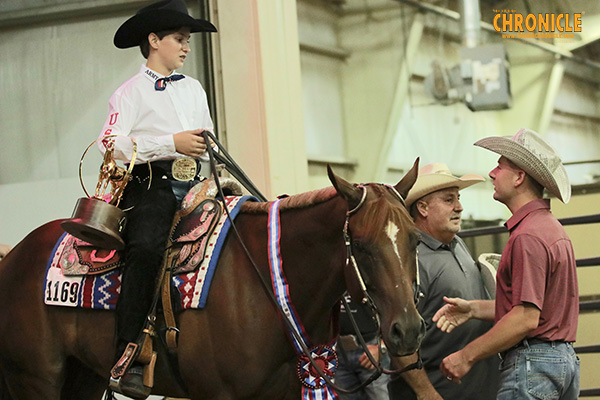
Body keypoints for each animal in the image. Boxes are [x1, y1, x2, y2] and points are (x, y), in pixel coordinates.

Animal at [0, 160, 424, 400]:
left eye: (415, 239)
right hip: (36, 379)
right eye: (362, 245)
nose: (408, 329)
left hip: (83, 377)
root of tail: (13, 258)